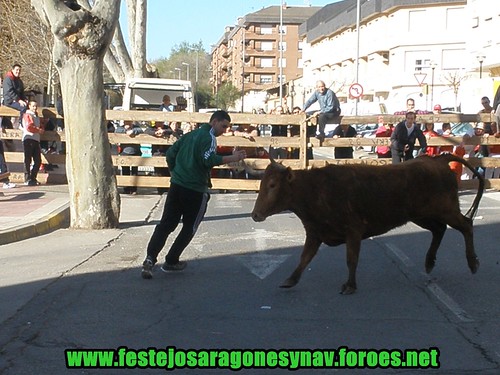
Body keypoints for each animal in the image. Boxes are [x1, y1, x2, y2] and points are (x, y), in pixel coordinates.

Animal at [252, 154, 482, 296]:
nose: (255, 215)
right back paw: (429, 262)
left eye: (272, 185)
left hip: (446, 210)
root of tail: (438, 159)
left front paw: (350, 286)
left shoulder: (353, 231)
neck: (315, 189)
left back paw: (472, 264)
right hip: (421, 215)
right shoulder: (315, 233)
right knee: (439, 229)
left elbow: (351, 259)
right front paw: (290, 280)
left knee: (465, 225)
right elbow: (304, 258)